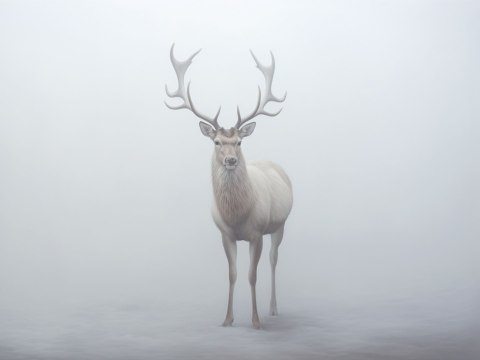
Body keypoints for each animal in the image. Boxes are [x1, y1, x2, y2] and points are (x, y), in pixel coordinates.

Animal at [165, 44, 292, 330]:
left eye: (239, 142)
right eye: (217, 142)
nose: (232, 160)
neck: (237, 215)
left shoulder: (257, 232)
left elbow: (252, 275)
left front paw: (256, 321)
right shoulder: (225, 233)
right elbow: (233, 274)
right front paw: (227, 319)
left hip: (280, 224)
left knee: (274, 259)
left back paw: (273, 308)